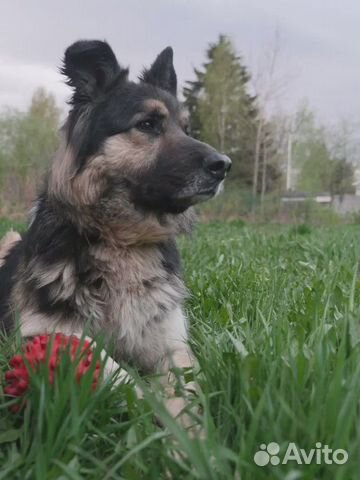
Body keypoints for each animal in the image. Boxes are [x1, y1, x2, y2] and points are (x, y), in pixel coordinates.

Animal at [0, 41, 231, 422]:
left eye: (186, 128)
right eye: (148, 124)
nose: (224, 165)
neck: (122, 239)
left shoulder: (172, 342)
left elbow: (185, 386)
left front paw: (191, 432)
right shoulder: (42, 330)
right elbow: (118, 373)